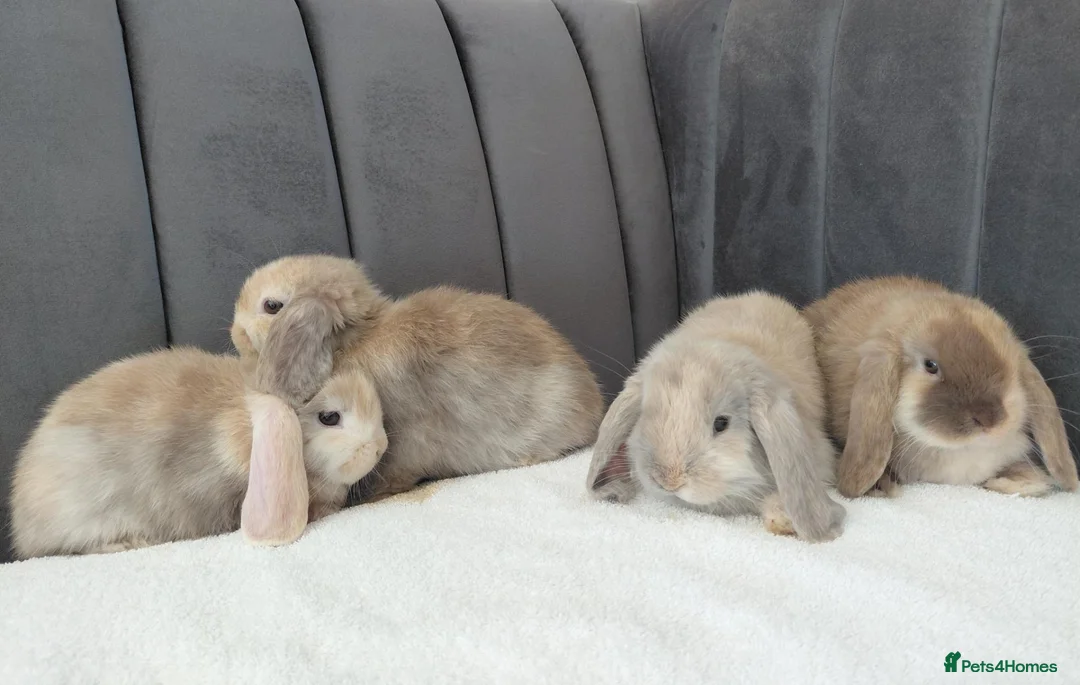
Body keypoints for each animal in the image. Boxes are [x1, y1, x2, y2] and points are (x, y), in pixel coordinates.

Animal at [230, 254, 605, 502]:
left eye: (272, 306)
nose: (235, 334)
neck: (357, 339)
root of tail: (594, 407)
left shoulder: (403, 441)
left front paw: (376, 495)